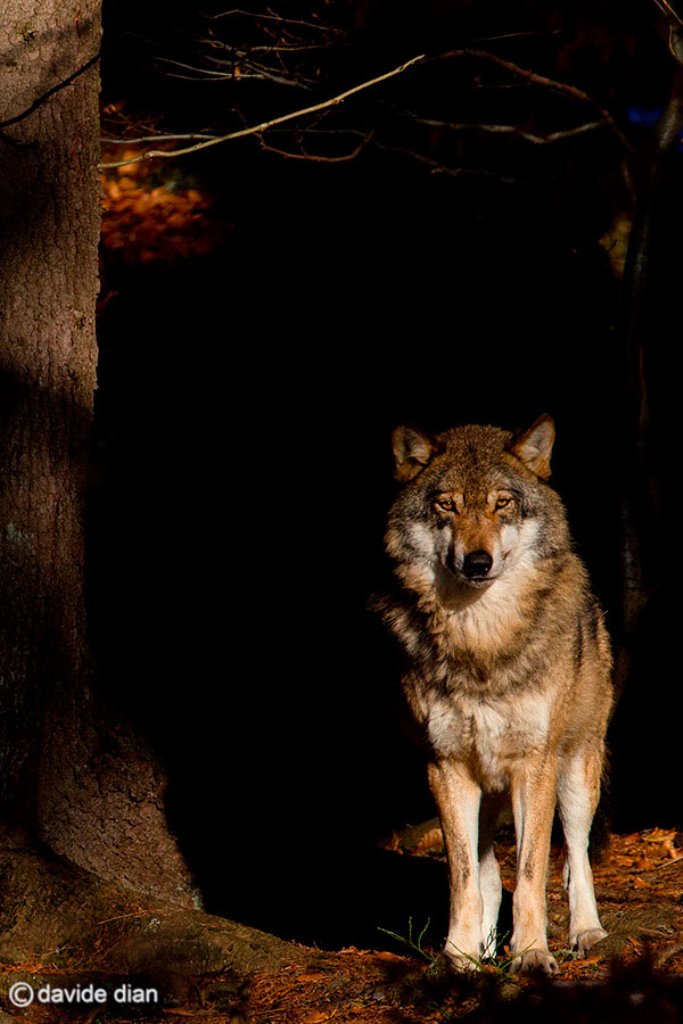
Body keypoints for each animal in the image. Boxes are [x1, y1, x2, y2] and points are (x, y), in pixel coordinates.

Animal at [376, 415, 613, 976]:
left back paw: (587, 932)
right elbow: (465, 878)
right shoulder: (445, 766)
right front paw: (459, 956)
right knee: (487, 876)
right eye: (447, 505)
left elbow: (530, 875)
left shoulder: (534, 764)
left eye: (502, 502)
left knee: (575, 856)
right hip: (485, 788)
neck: (481, 639)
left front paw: (530, 954)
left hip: (576, 773)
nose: (477, 561)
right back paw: (483, 948)